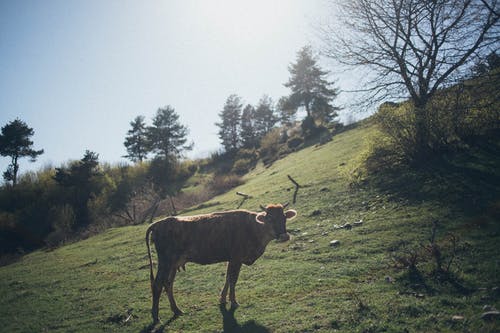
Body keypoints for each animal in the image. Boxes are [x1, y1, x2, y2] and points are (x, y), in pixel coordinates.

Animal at [146, 202, 298, 322]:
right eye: (270, 218)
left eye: (284, 218)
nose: (284, 236)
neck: (253, 228)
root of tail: (158, 223)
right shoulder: (236, 258)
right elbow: (233, 279)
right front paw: (234, 302)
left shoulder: (232, 259)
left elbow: (227, 278)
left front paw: (223, 299)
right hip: (165, 261)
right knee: (158, 284)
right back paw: (156, 316)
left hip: (173, 263)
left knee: (168, 283)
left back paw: (177, 310)